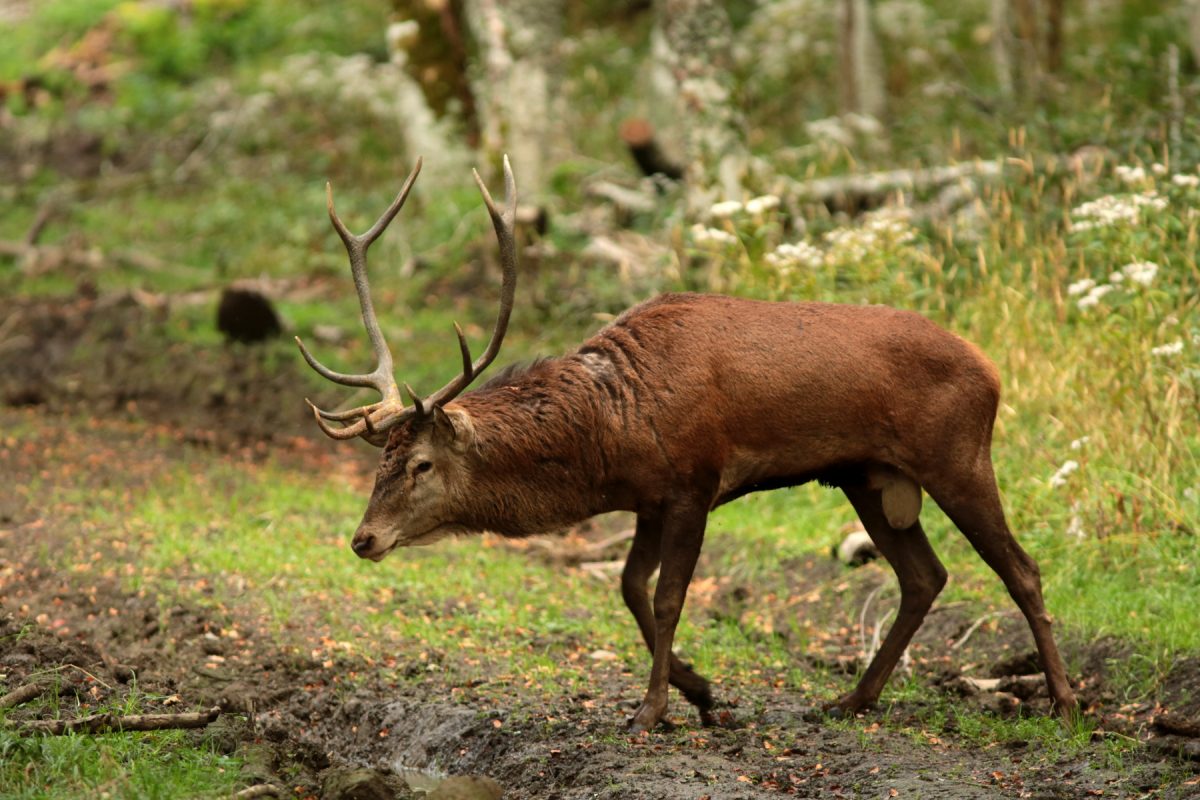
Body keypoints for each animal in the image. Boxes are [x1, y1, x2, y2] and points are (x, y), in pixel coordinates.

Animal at [297, 158, 1080, 738]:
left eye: (421, 464)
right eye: (379, 462)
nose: (364, 539)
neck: (611, 433)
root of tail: (993, 370)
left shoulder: (694, 482)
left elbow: (670, 596)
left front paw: (651, 711)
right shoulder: (648, 497)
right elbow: (628, 587)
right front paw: (703, 692)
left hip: (958, 455)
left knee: (1022, 568)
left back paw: (1066, 702)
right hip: (867, 477)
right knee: (924, 576)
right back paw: (852, 700)